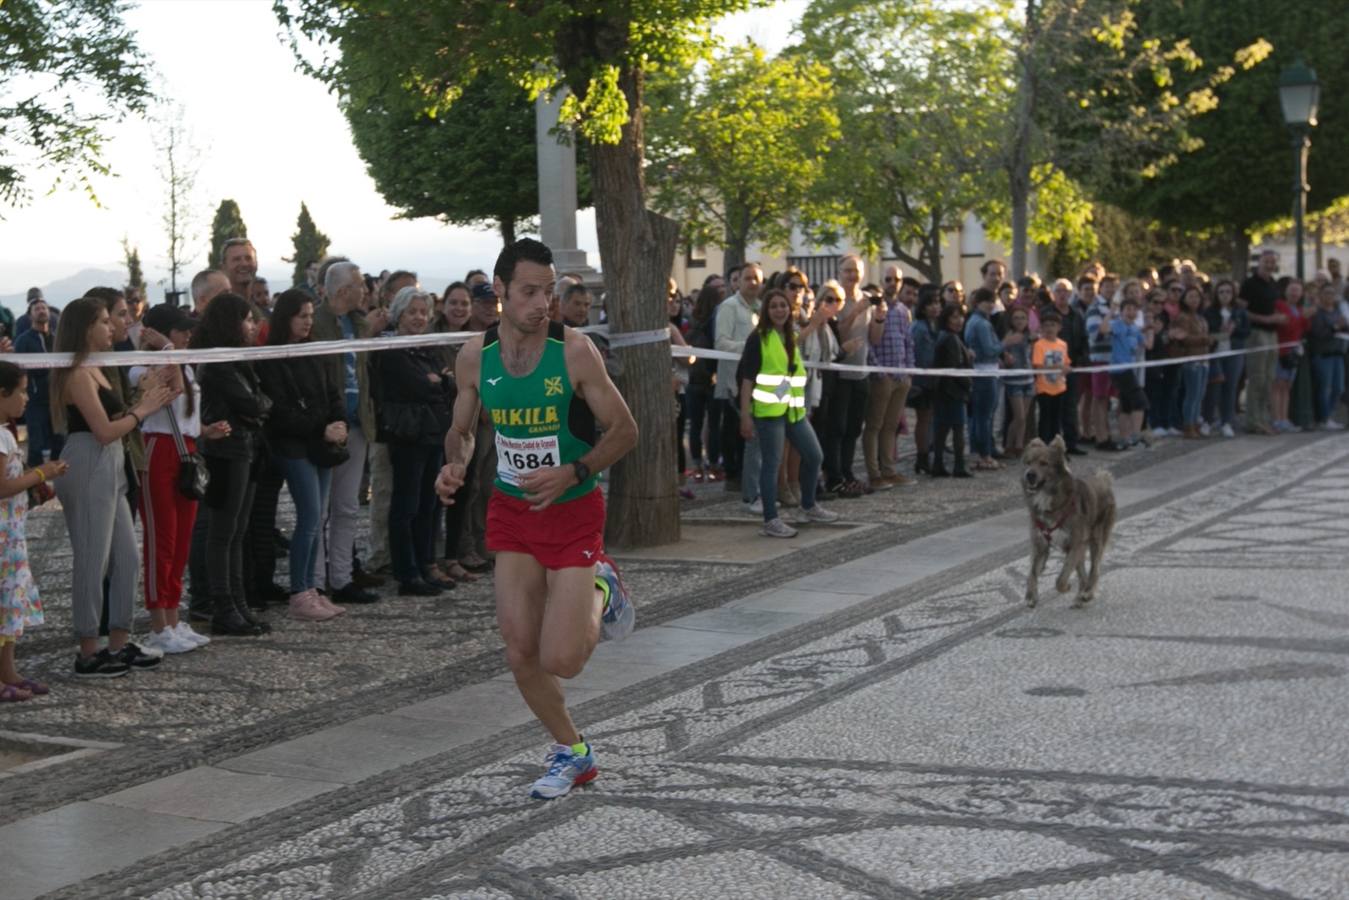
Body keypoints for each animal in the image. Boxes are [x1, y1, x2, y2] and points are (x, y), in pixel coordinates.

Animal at [1019, 434, 1116, 609]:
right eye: (1028, 463)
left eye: (1044, 463)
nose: (1029, 475)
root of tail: (1103, 480)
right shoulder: (1040, 545)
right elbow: (1031, 572)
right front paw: (1031, 596)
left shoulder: (1075, 543)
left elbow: (1061, 577)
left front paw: (1066, 587)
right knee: (1083, 572)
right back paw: (1081, 596)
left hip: (1096, 538)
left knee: (1095, 569)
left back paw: (1087, 593)